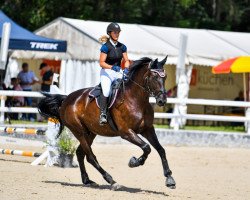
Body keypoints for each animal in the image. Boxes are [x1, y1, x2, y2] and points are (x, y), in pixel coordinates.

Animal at [38, 56, 176, 191]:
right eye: (154, 76)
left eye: (165, 77)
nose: (162, 101)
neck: (136, 100)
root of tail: (66, 99)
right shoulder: (126, 133)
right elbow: (146, 147)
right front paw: (134, 162)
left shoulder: (148, 129)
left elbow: (160, 149)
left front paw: (169, 179)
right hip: (79, 131)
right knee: (90, 157)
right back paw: (112, 181)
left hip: (90, 133)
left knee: (80, 153)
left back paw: (87, 180)